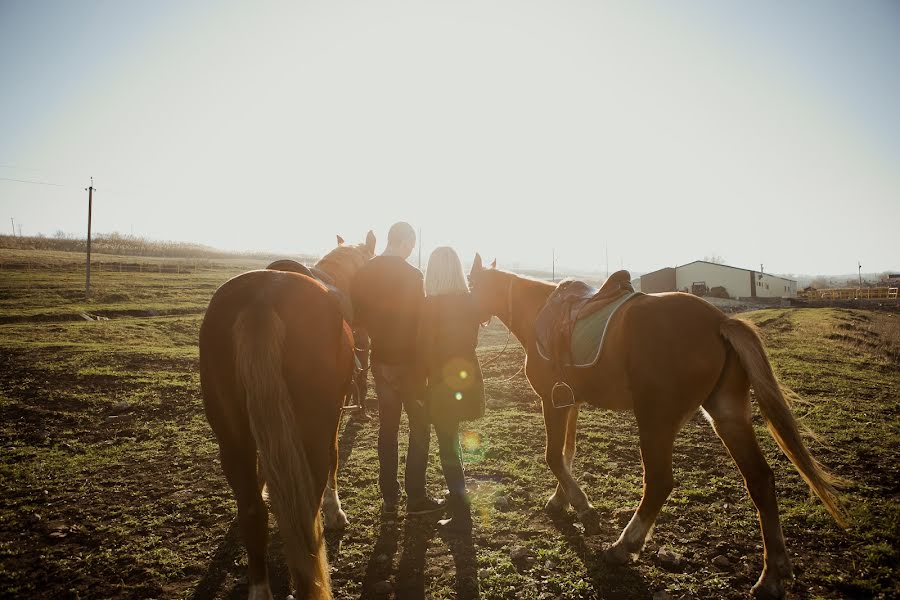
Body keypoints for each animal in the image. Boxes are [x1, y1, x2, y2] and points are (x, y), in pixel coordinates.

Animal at [201, 232, 376, 596]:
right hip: (312, 428)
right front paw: (336, 512)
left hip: (232, 437)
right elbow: (335, 457)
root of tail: (261, 300)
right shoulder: (331, 418)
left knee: (253, 513)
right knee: (306, 509)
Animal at [468, 255, 848, 596]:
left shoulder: (552, 401)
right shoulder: (569, 401)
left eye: (470, 285)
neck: (538, 313)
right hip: (727, 416)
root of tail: (718, 322)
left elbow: (552, 456)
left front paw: (584, 510)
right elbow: (567, 453)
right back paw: (772, 575)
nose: (466, 316)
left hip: (655, 420)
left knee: (660, 482)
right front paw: (561, 501)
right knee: (760, 480)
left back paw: (624, 546)